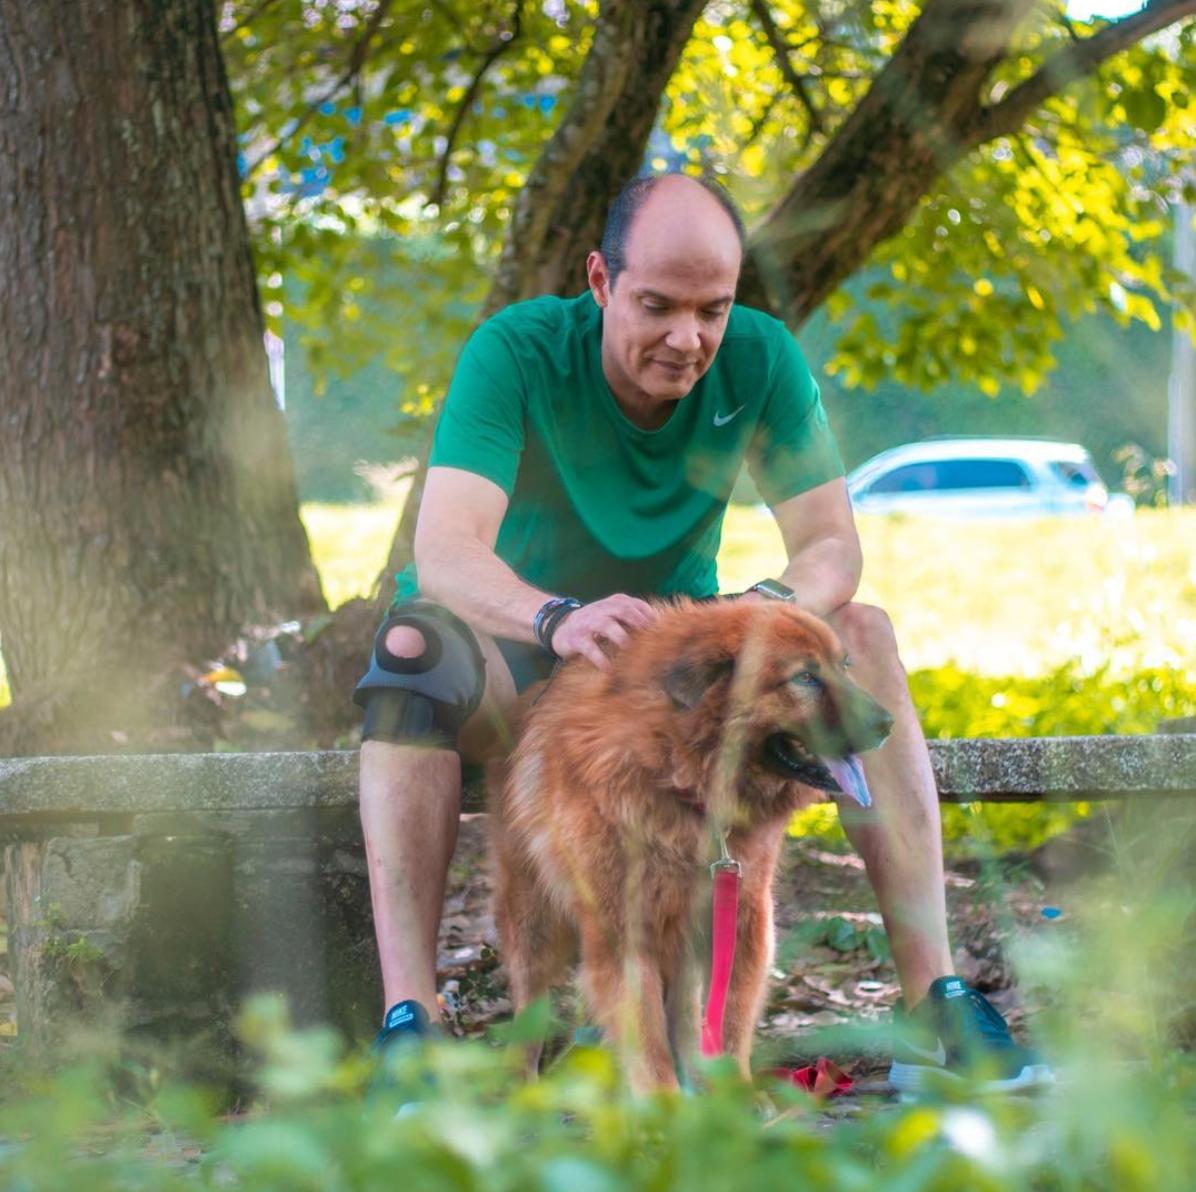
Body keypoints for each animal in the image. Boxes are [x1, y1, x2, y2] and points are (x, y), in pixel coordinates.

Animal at [485, 600, 889, 1095]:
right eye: (806, 678)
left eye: (844, 666)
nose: (887, 724)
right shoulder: (626, 927)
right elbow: (646, 1035)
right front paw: (665, 1104)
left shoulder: (742, 911)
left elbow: (729, 1020)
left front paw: (730, 1095)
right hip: (532, 916)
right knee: (531, 1003)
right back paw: (518, 1081)